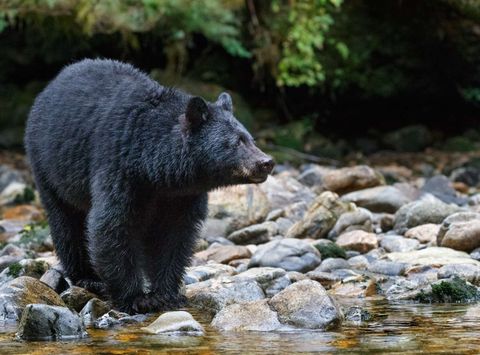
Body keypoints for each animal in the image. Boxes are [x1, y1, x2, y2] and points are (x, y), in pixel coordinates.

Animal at [25, 59, 274, 314]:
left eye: (250, 138)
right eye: (236, 142)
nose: (266, 162)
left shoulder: (182, 196)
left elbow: (174, 235)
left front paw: (167, 294)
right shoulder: (118, 168)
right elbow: (112, 225)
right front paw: (135, 298)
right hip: (49, 166)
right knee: (67, 222)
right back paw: (87, 277)